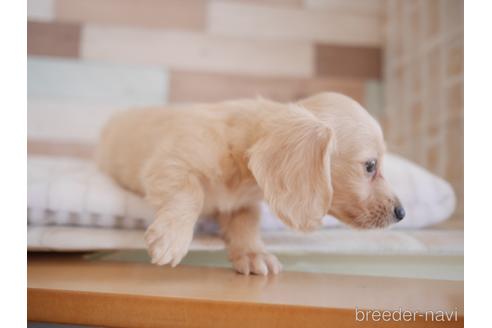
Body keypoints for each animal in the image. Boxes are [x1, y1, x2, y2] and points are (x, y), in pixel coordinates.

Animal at [96, 91, 404, 274]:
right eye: (370, 166)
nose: (402, 213)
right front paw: (172, 238)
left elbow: (246, 225)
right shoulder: (171, 163)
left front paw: (254, 254)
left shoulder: (244, 205)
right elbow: (191, 194)